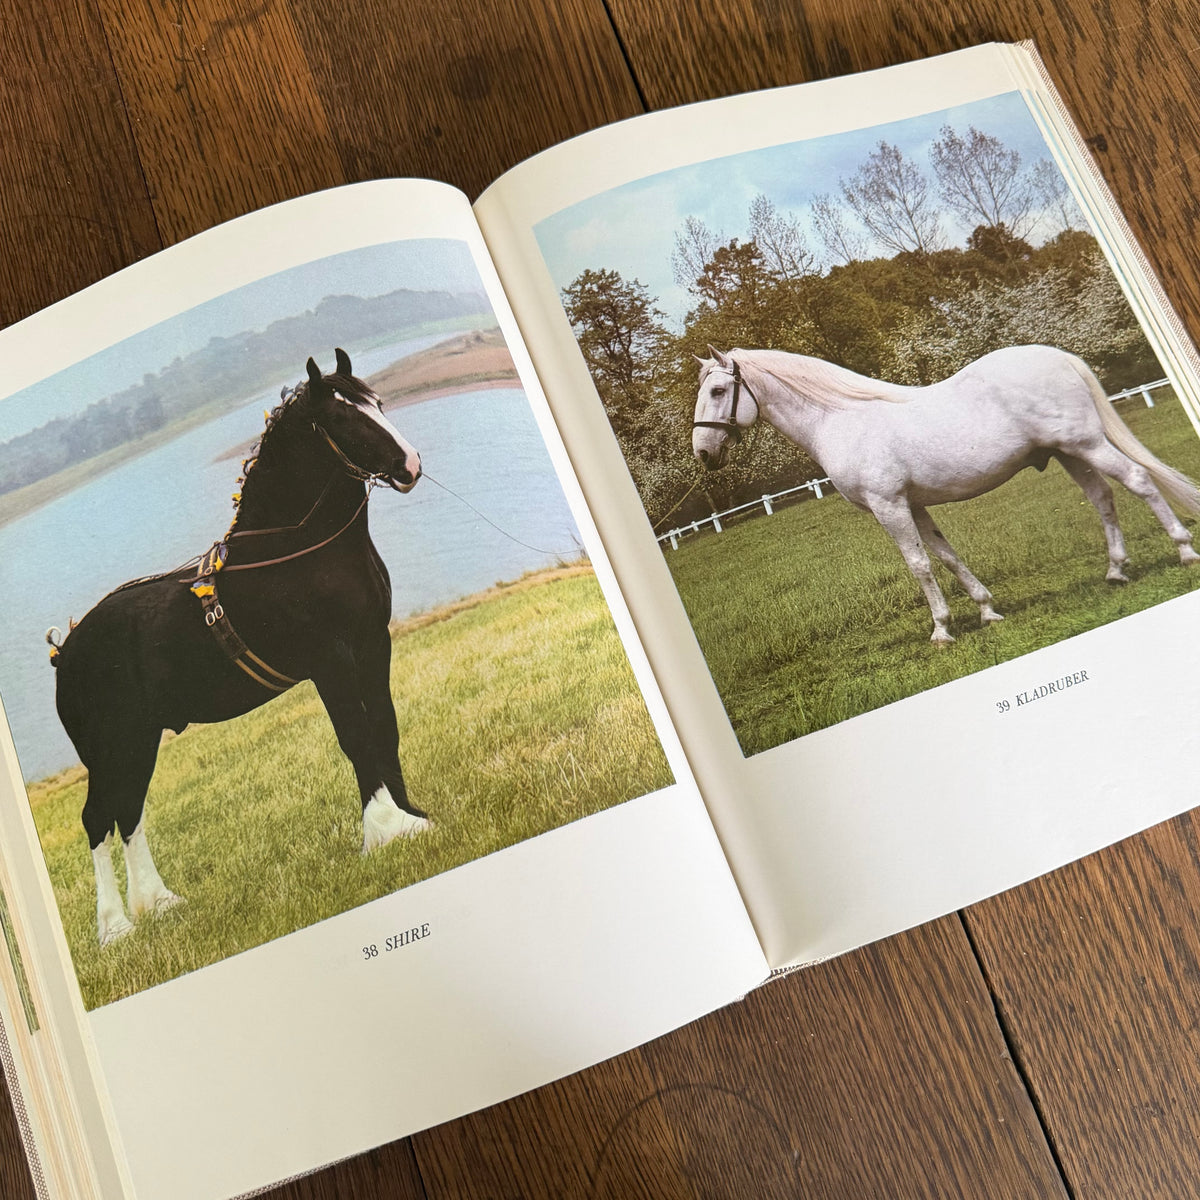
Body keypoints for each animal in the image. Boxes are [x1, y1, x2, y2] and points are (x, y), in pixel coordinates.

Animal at [47, 349, 430, 946]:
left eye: (378, 403)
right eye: (342, 416)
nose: (408, 463)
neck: (299, 553)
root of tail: (66, 654)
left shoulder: (374, 646)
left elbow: (384, 729)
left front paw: (413, 817)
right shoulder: (330, 662)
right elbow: (355, 737)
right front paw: (385, 831)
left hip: (139, 740)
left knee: (128, 812)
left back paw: (159, 904)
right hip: (112, 745)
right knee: (97, 819)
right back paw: (115, 927)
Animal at [692, 344, 1200, 644]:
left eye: (717, 390)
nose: (703, 453)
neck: (839, 418)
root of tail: (1055, 356)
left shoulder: (889, 506)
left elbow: (919, 565)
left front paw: (940, 630)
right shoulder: (914, 505)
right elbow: (948, 557)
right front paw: (987, 610)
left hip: (1087, 445)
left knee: (1138, 480)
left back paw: (1184, 551)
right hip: (1071, 453)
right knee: (1103, 498)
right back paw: (1115, 570)